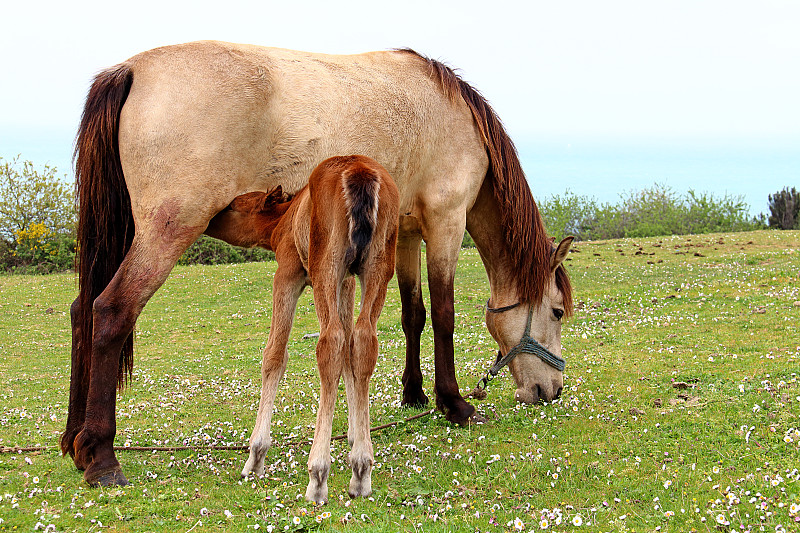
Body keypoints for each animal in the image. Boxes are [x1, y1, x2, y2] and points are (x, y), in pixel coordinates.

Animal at [205, 155, 398, 503]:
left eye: (233, 206)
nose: (209, 219)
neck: (286, 217)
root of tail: (360, 172)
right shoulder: (347, 282)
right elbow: (350, 358)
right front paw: (353, 435)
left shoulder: (288, 273)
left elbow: (274, 355)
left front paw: (255, 455)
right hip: (376, 268)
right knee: (363, 341)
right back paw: (361, 469)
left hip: (325, 267)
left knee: (330, 342)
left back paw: (318, 473)